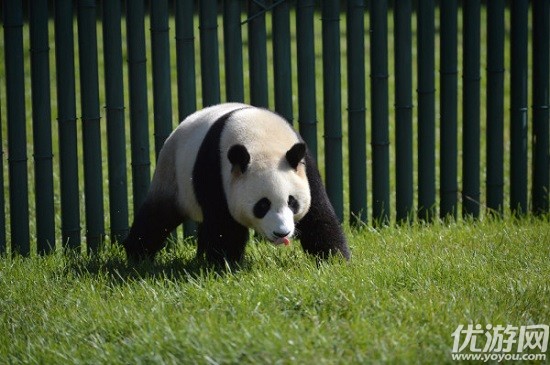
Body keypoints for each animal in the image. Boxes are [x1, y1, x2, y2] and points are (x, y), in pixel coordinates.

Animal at [123, 101, 352, 264]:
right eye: (262, 205)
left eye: (292, 202)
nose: (282, 233)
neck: (262, 137)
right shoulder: (215, 169)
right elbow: (224, 223)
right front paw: (227, 264)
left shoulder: (304, 166)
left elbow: (318, 214)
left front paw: (335, 259)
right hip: (172, 174)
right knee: (157, 216)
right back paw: (137, 254)